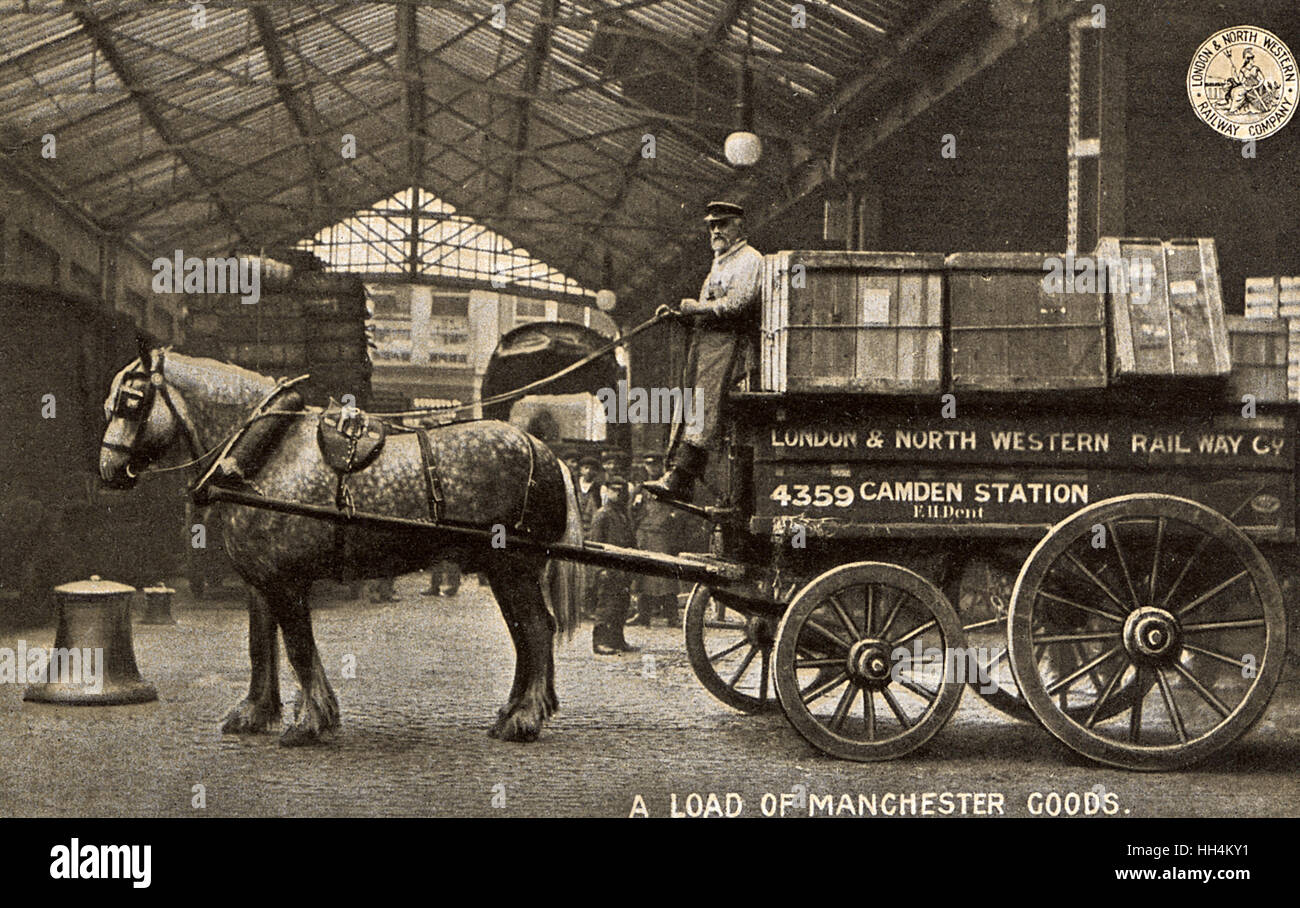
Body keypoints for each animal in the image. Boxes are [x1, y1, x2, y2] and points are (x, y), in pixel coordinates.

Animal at [101, 346, 585, 744]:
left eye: (131, 401)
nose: (109, 469)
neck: (264, 450)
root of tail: (544, 452)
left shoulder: (286, 580)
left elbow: (298, 648)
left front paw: (311, 721)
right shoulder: (261, 580)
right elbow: (260, 644)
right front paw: (256, 713)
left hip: (513, 567)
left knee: (536, 629)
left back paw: (524, 719)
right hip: (503, 570)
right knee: (526, 634)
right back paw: (514, 711)